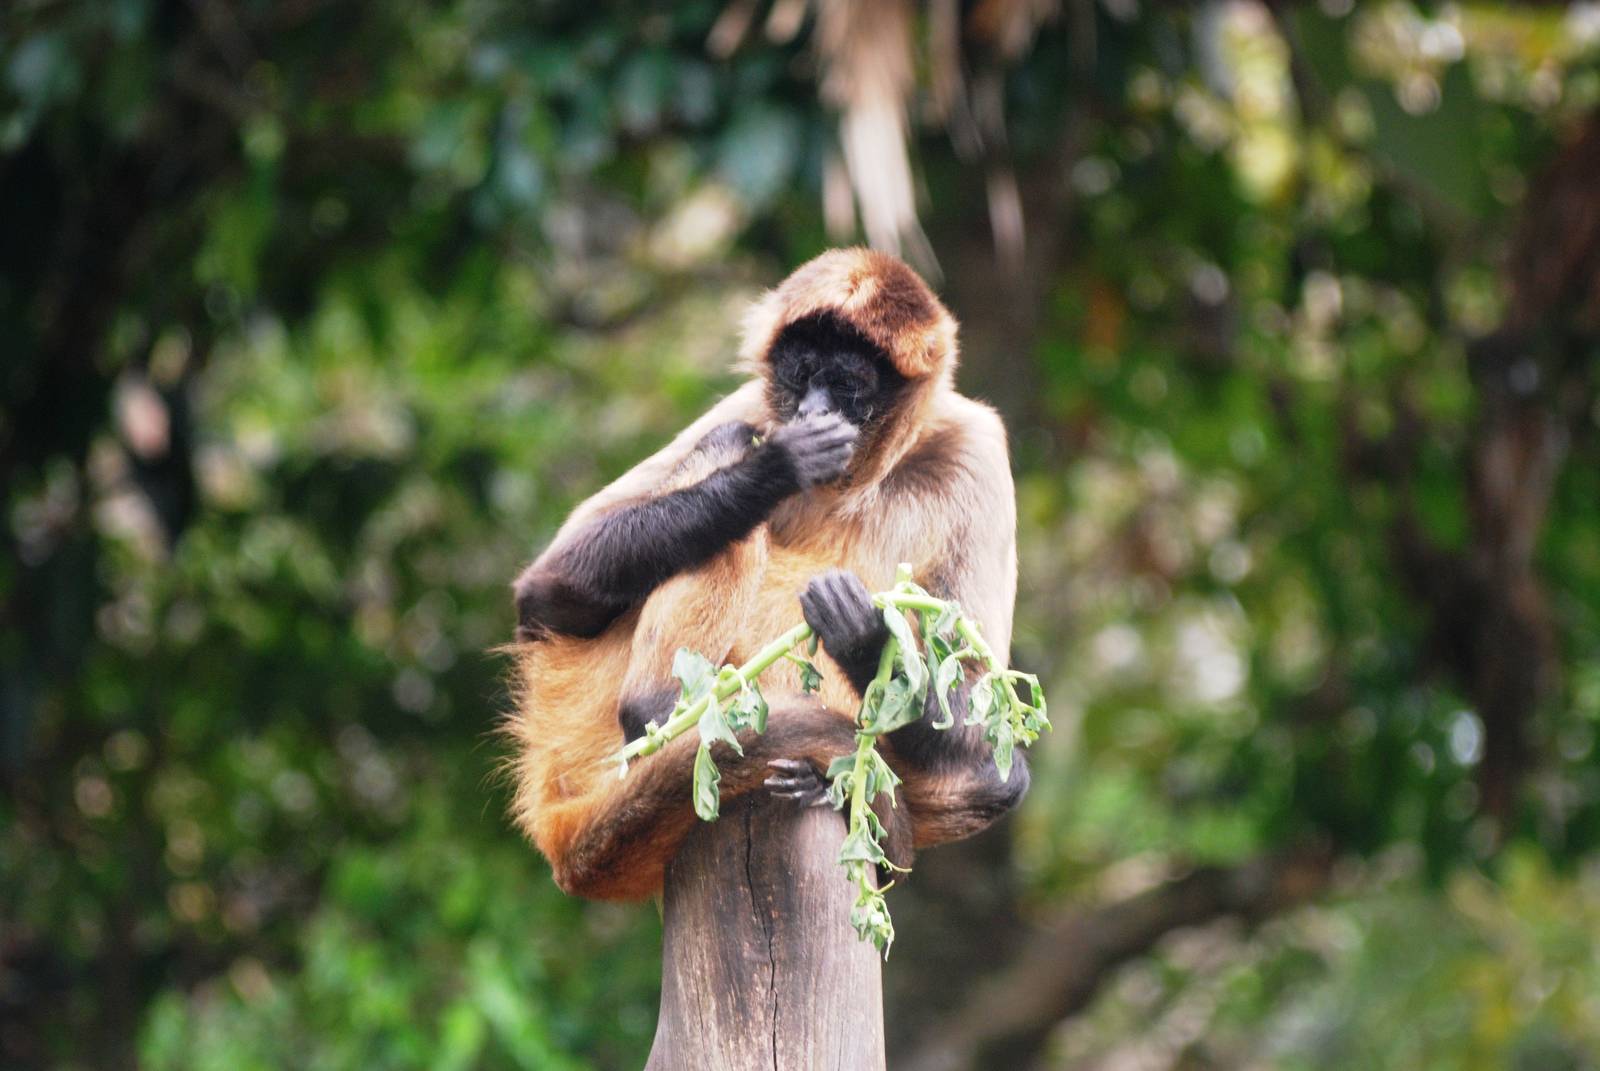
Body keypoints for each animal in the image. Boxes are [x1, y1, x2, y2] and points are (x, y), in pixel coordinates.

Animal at [505, 248, 1026, 902]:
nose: (813, 410)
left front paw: (864, 633)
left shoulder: (974, 447)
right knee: (725, 450)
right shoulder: (751, 406)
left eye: (847, 385)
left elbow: (984, 719)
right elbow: (545, 593)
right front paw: (777, 467)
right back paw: (662, 713)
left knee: (1003, 777)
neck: (850, 484)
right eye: (803, 374)